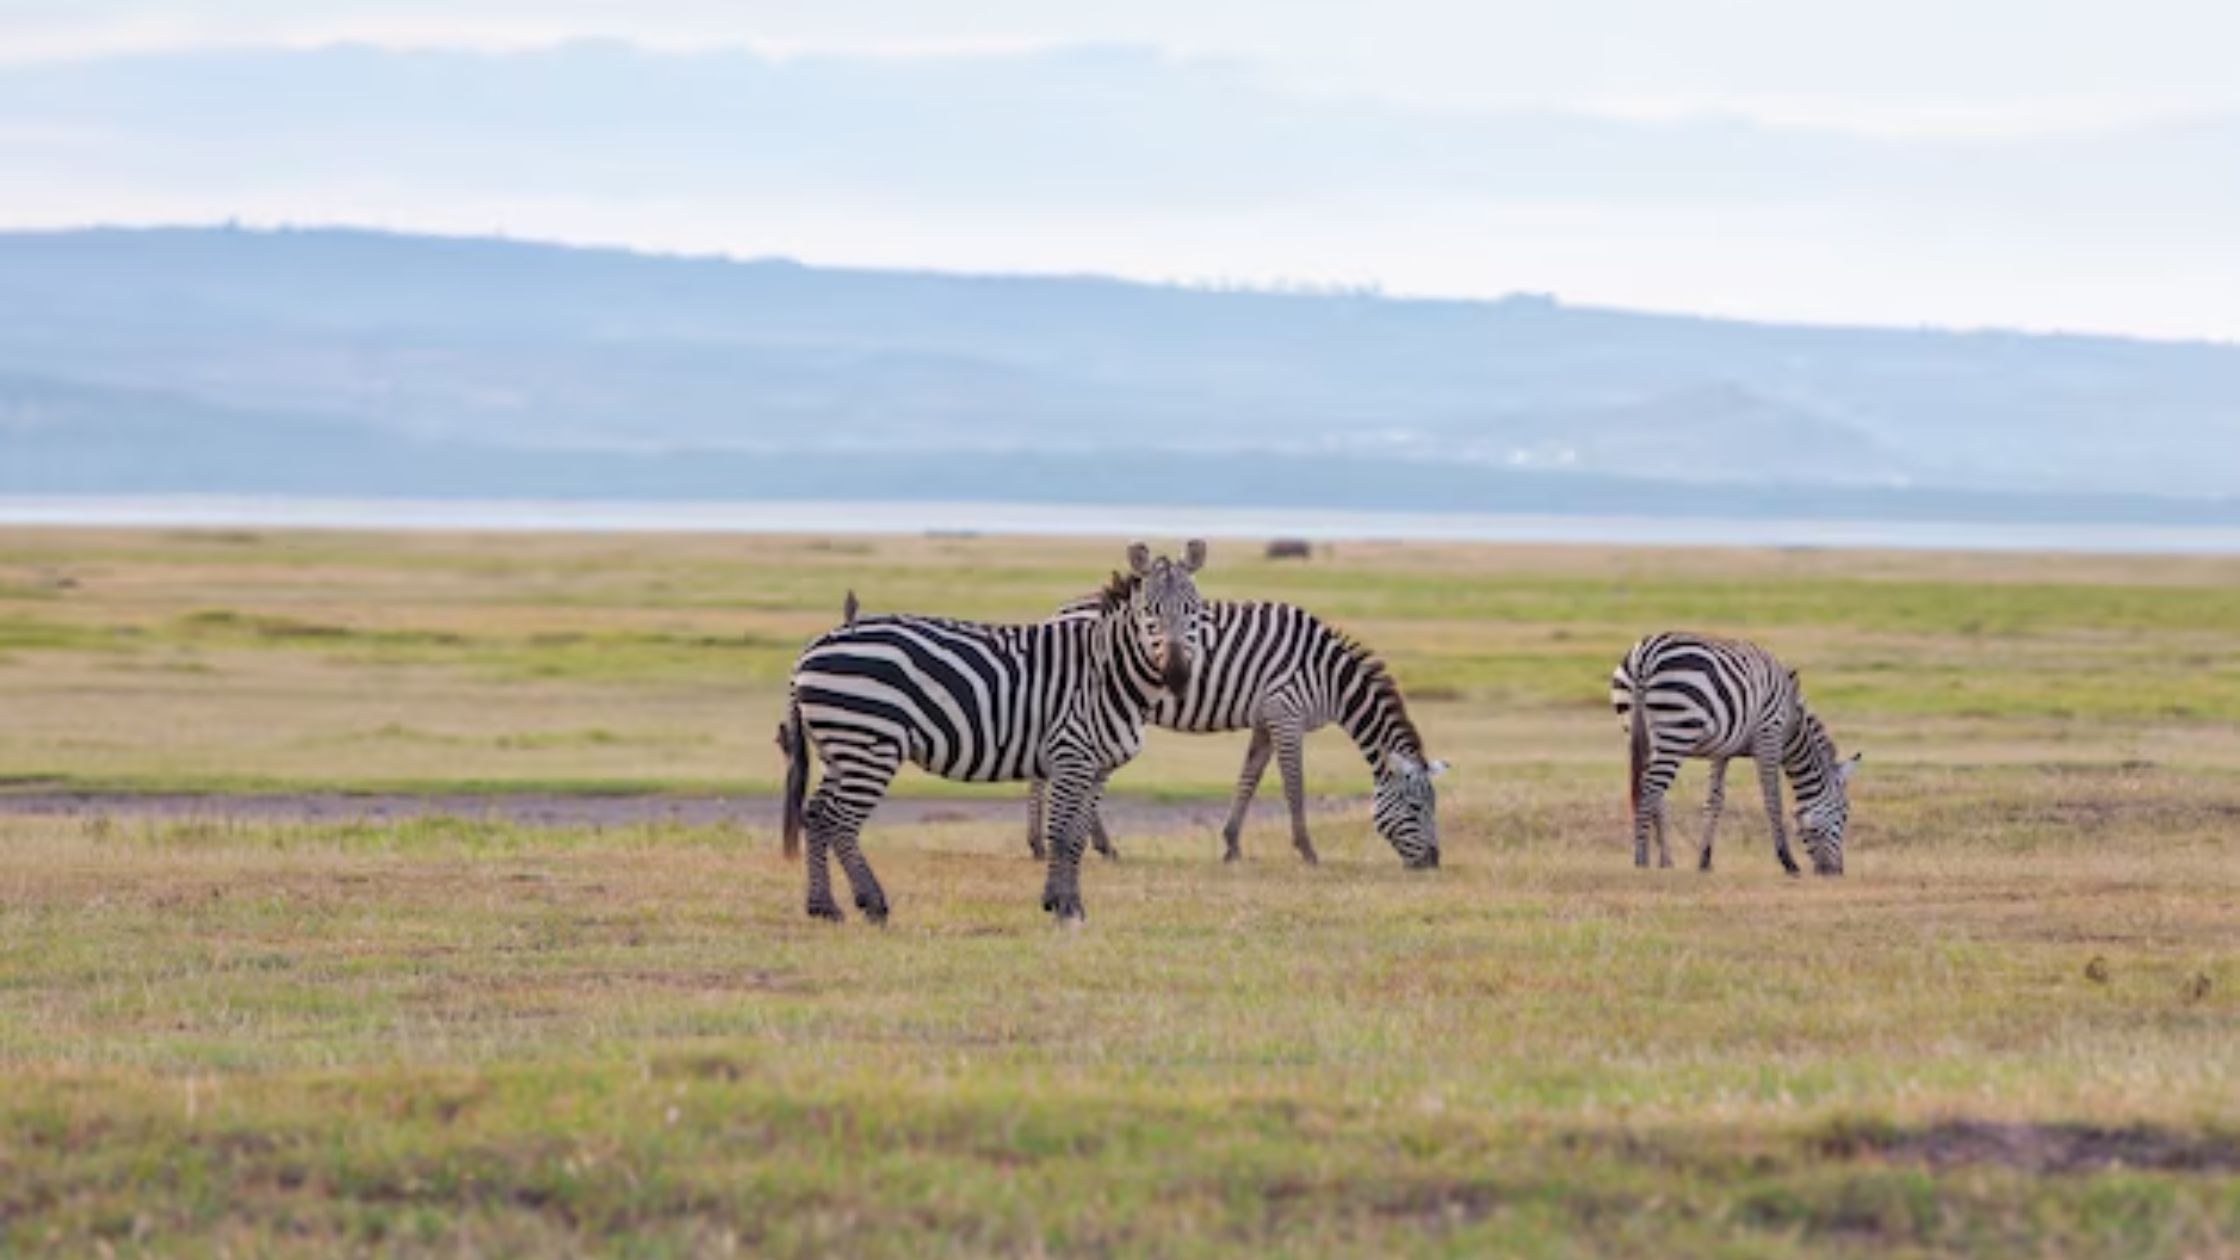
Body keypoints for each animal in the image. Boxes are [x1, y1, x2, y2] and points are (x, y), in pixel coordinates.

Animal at [784, 540, 1209, 923]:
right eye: (1149, 611)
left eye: (1193, 611)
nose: (1177, 674)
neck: (1107, 675)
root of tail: (812, 647)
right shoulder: (1071, 756)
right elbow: (1062, 835)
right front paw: (1061, 907)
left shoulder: (1097, 769)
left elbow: (1077, 839)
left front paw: (1071, 905)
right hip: (871, 745)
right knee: (841, 821)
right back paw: (872, 903)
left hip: (840, 748)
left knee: (817, 815)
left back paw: (823, 907)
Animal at [1030, 596, 1451, 860]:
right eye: (1416, 807)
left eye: (1433, 807)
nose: (1433, 862)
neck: (1330, 677)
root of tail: (1057, 614)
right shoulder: (1286, 714)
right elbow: (1294, 785)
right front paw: (1307, 850)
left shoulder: (1265, 721)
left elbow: (1248, 779)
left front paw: (1232, 845)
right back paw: (1051, 845)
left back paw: (1081, 844)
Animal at [1612, 627, 1854, 874]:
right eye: (1844, 815)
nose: (1836, 872)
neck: (1792, 728)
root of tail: (1645, 654)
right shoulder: (1769, 736)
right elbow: (1773, 800)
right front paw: (1788, 862)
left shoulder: (1722, 751)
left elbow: (1715, 800)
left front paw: (1704, 860)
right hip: (1677, 730)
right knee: (1650, 789)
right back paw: (1641, 860)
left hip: (1637, 729)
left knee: (1655, 793)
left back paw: (1666, 861)